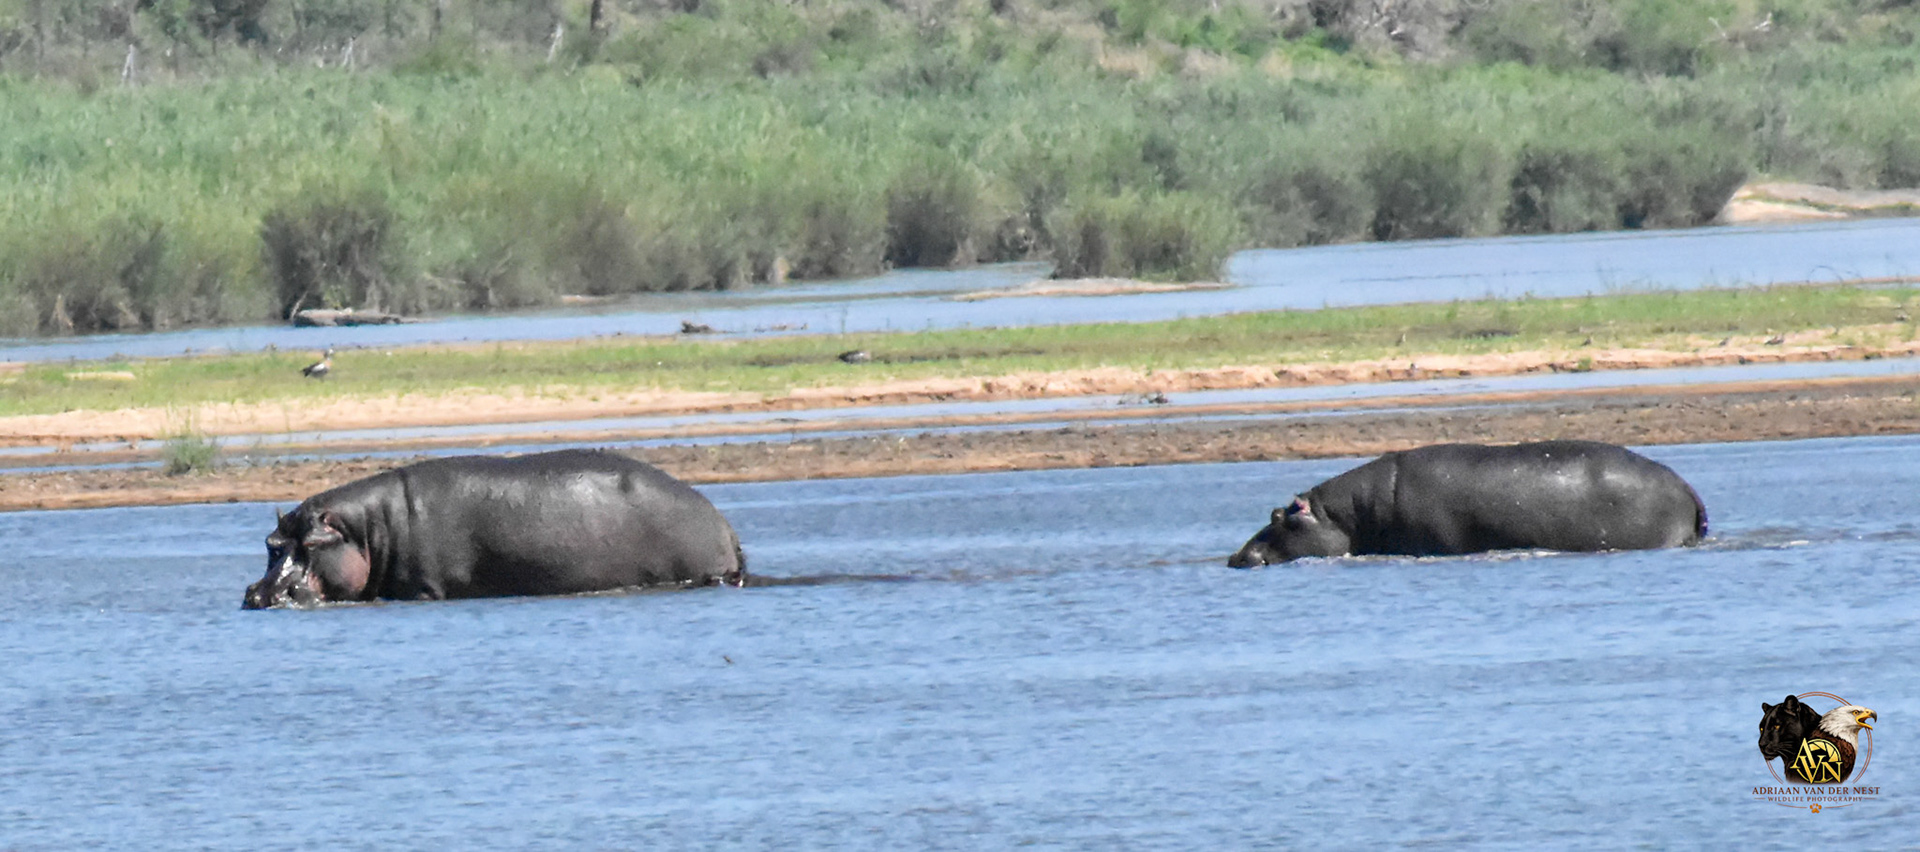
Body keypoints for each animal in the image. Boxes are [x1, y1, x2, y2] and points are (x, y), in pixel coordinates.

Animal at [244, 449, 746, 608]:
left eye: (313, 542)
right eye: (272, 544)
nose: (261, 594)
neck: (367, 530)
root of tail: (724, 524)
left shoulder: (423, 589)